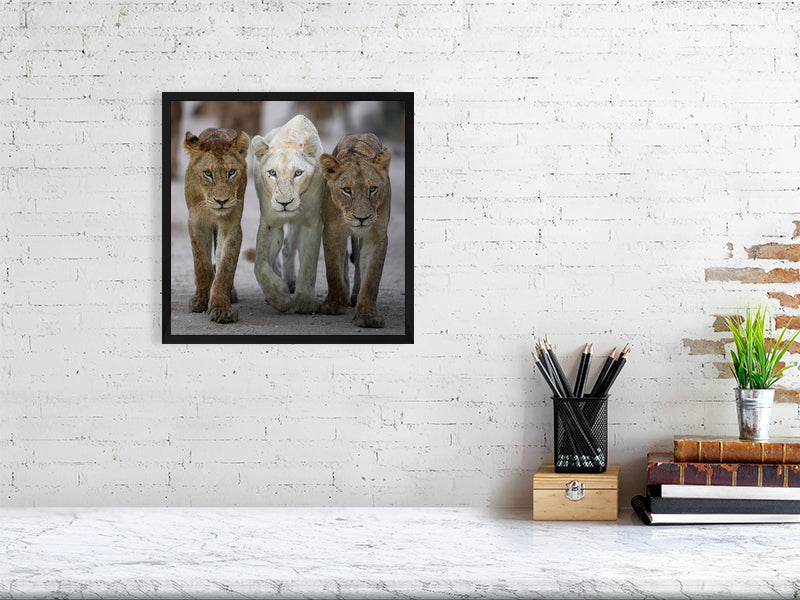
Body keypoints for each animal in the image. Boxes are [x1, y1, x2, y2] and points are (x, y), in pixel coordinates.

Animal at [183, 127, 249, 323]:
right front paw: (201, 300)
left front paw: (221, 308)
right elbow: (202, 264)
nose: (222, 201)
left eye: (232, 172)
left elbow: (226, 266)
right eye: (208, 173)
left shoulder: (231, 225)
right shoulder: (197, 223)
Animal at [251, 115, 326, 314]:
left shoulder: (311, 224)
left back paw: (291, 281)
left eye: (298, 173)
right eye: (272, 173)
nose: (284, 203)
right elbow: (260, 266)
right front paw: (280, 298)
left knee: (288, 247)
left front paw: (306, 301)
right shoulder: (270, 223)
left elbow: (308, 264)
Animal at [319, 133, 391, 328]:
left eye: (372, 189)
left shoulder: (377, 235)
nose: (362, 218)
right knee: (344, 258)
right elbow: (333, 269)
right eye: (347, 190)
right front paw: (334, 304)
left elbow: (372, 278)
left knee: (358, 261)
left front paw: (368, 315)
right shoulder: (332, 231)